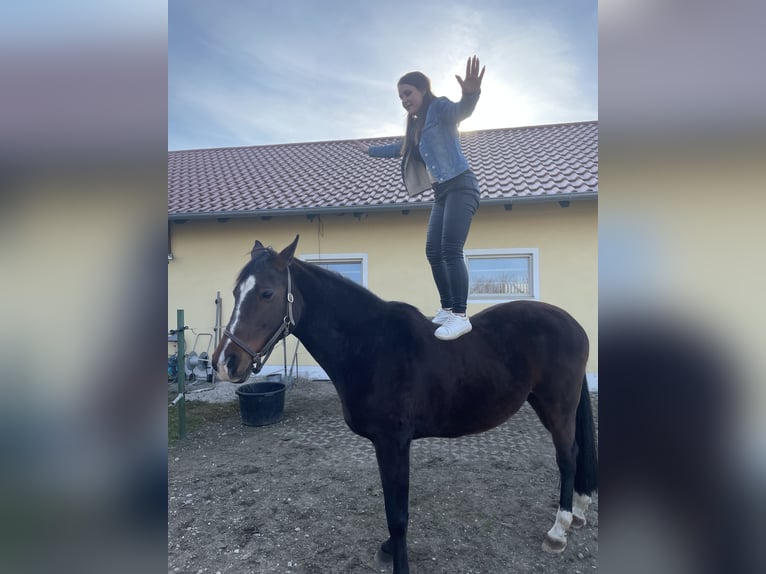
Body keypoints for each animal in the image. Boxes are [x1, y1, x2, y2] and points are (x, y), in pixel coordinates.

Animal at [212, 236, 600, 572]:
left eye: (267, 293)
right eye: (235, 293)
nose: (226, 362)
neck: (371, 345)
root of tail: (573, 324)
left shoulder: (393, 442)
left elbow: (396, 515)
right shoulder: (386, 445)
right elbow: (393, 506)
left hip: (557, 406)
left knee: (568, 457)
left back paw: (559, 529)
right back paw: (580, 510)